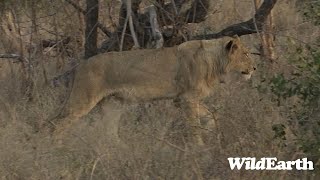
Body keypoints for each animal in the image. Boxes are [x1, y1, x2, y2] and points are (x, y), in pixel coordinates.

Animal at [45, 35, 255, 144]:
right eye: (245, 54)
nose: (254, 68)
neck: (215, 62)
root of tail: (81, 64)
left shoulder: (182, 99)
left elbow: (211, 115)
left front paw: (212, 132)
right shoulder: (186, 98)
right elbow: (194, 125)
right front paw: (200, 147)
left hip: (113, 104)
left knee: (109, 133)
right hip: (83, 100)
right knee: (56, 123)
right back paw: (55, 147)